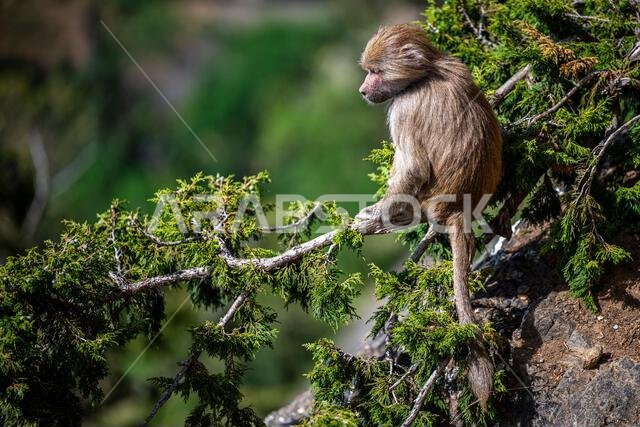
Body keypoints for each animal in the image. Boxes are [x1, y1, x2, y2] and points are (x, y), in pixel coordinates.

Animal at [354, 23, 502, 410]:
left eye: (375, 71)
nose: (362, 90)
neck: (429, 72)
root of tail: (456, 209)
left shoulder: (404, 107)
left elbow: (413, 169)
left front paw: (374, 218)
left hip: (427, 199)